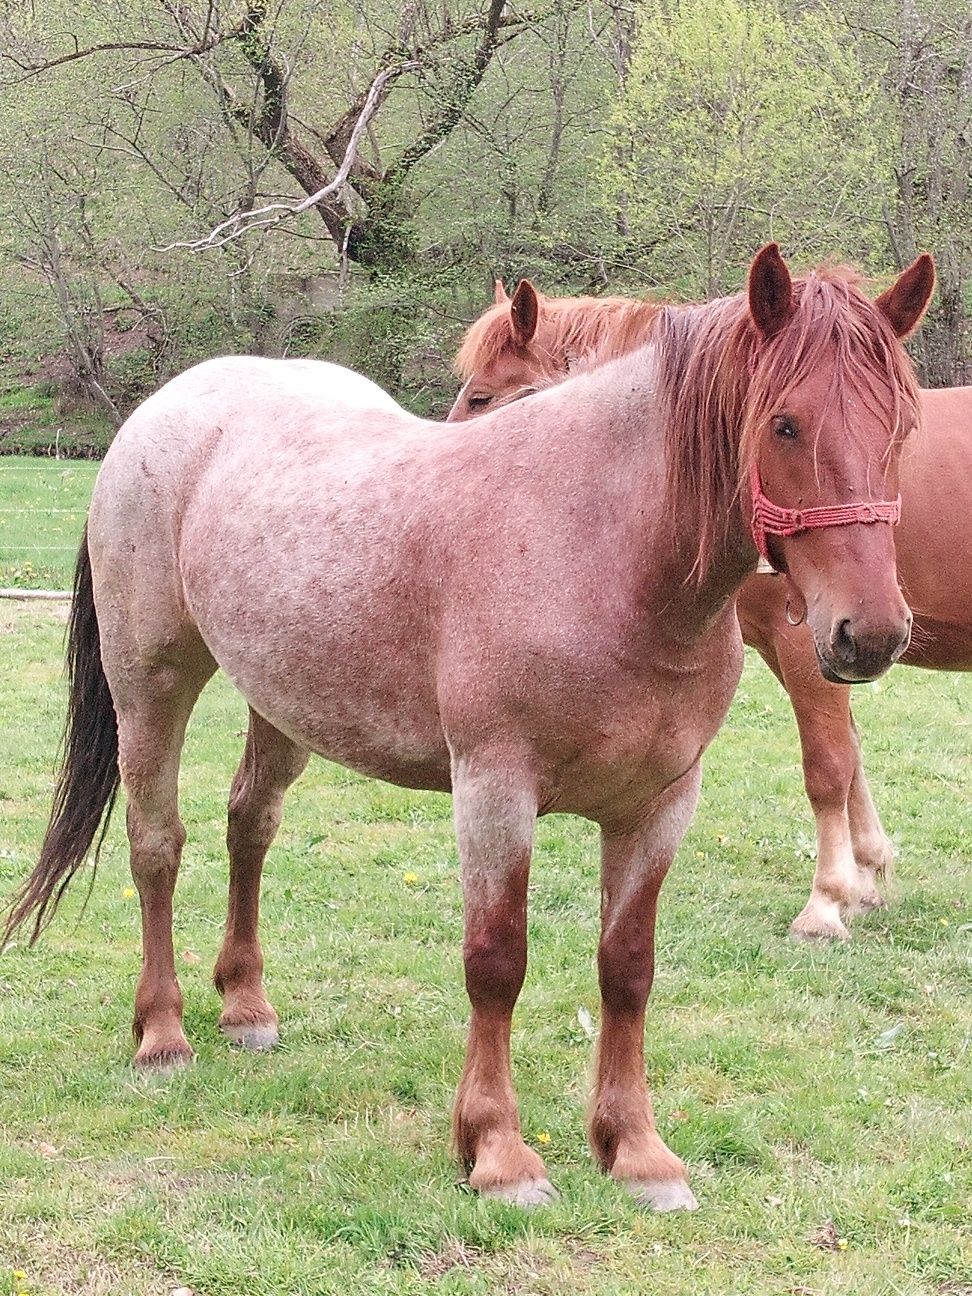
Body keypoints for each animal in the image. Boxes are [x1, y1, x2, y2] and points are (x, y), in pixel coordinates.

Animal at [451, 270, 959, 943]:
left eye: (481, 398)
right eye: (783, 425)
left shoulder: (811, 646)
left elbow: (829, 767)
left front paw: (827, 901)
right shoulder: (821, 648)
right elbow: (851, 758)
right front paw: (868, 876)